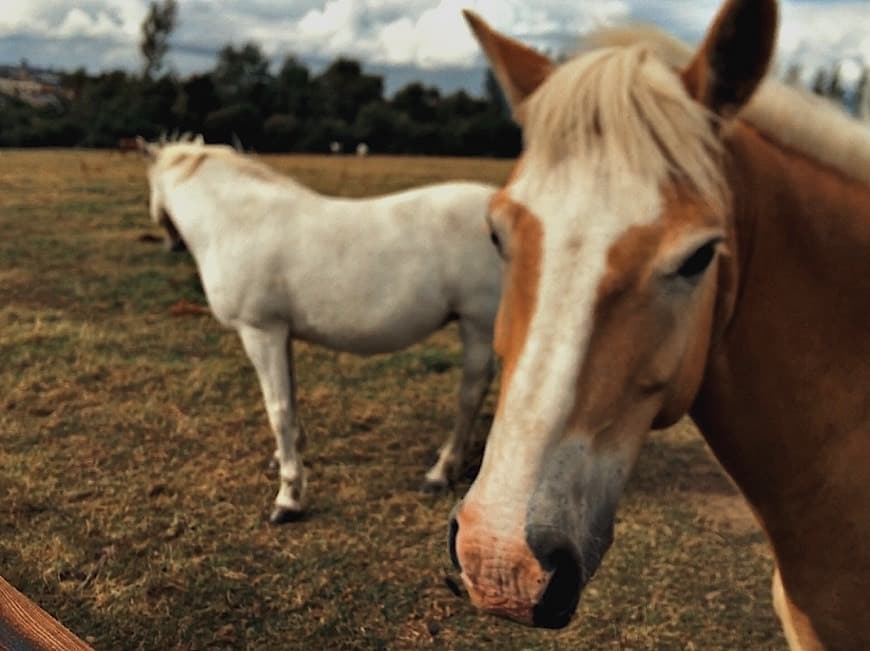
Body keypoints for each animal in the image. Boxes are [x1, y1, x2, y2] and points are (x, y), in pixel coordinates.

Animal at [140, 141, 500, 524]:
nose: (172, 244)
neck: (238, 222)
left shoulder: (260, 332)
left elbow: (278, 409)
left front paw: (288, 496)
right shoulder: (281, 334)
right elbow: (291, 397)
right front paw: (287, 457)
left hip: (477, 325)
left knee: (471, 393)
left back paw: (441, 472)